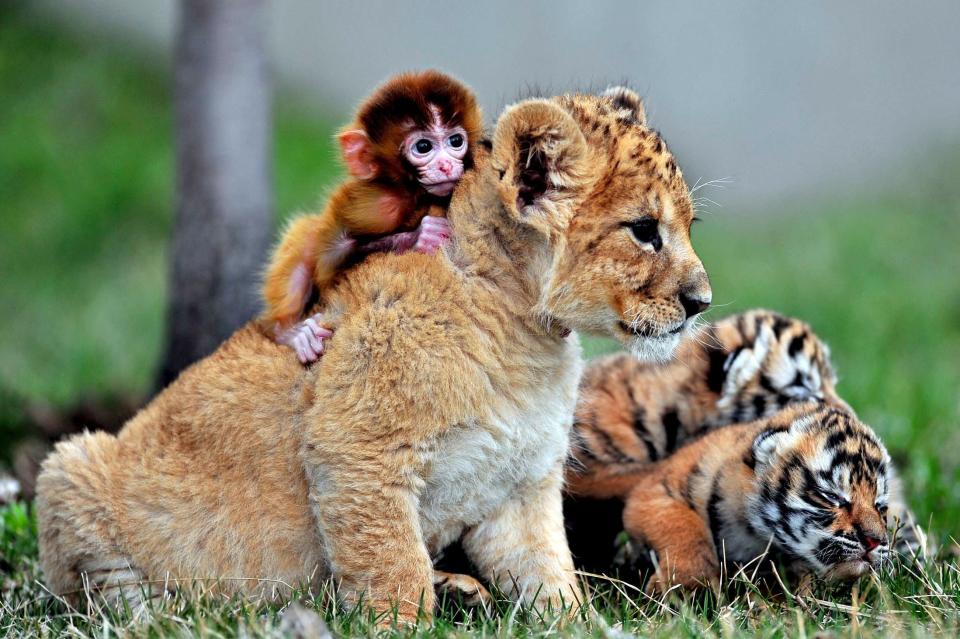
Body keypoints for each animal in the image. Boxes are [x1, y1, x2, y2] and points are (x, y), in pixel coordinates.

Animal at [260, 72, 480, 362]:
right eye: (423, 146)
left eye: (456, 141)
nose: (445, 165)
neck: (414, 195)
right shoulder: (376, 206)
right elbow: (330, 259)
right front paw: (422, 236)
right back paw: (289, 332)